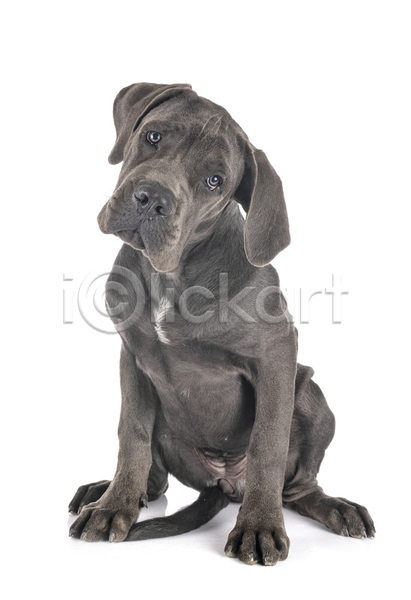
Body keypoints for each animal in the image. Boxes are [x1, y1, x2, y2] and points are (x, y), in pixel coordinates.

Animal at [69, 83, 375, 565]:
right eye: (153, 136)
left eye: (215, 180)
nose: (153, 199)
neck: (173, 273)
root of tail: (224, 483)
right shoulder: (132, 356)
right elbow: (131, 433)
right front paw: (114, 506)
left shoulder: (277, 354)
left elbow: (267, 443)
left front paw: (259, 528)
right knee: (156, 476)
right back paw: (113, 491)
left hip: (311, 393)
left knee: (298, 487)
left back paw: (334, 508)